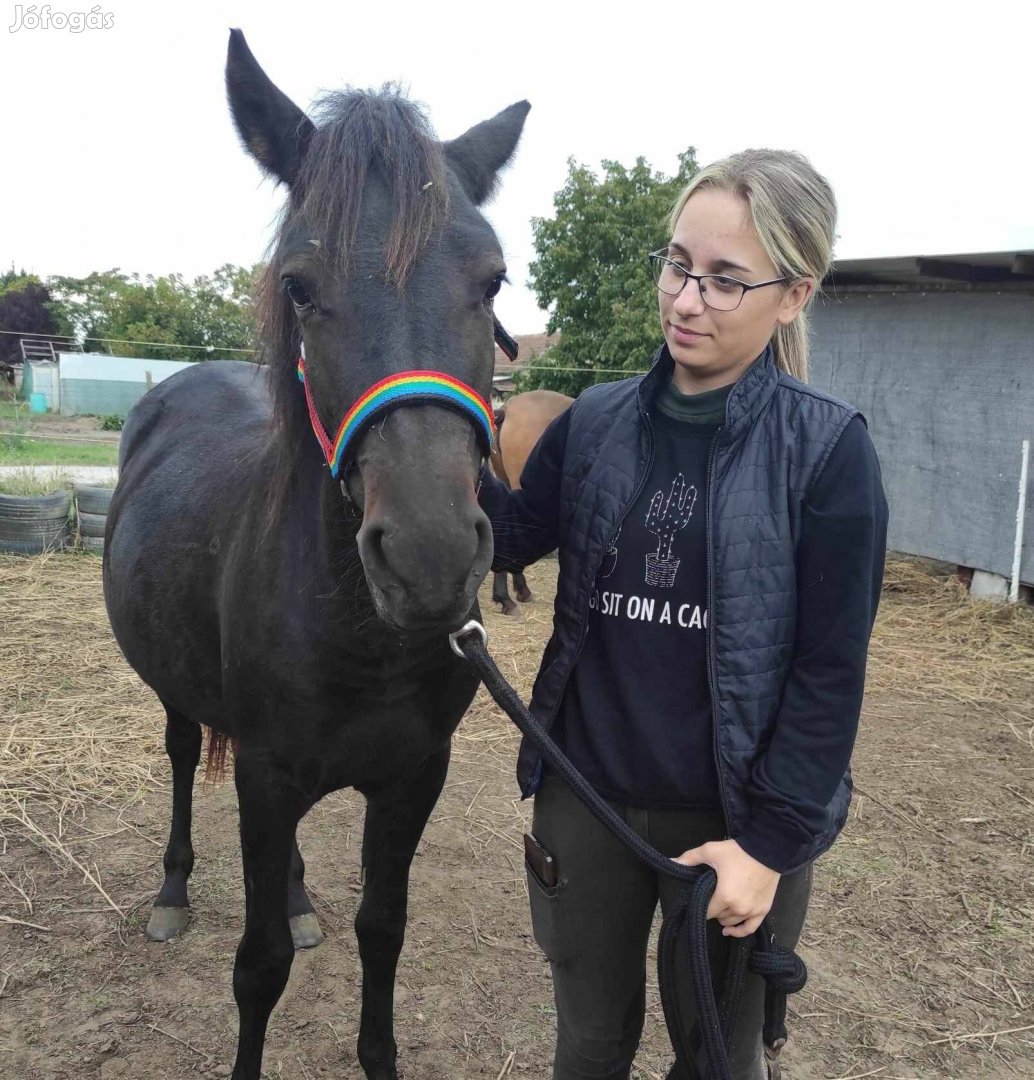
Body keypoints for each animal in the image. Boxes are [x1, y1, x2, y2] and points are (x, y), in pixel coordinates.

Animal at [103, 29, 529, 1075]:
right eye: (299, 286)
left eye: (492, 281)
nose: (426, 556)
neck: (357, 634)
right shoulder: (264, 776)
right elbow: (256, 969)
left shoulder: (414, 778)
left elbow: (384, 929)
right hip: (182, 699)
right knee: (183, 757)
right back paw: (173, 894)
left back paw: (297, 902)